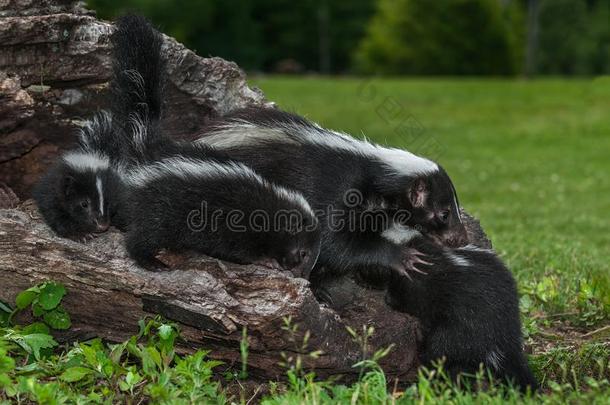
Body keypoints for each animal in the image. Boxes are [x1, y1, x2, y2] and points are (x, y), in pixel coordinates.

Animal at [382, 226, 536, 390]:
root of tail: (504, 340)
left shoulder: (419, 283)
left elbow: (410, 299)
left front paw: (392, 300)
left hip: (462, 327)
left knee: (441, 349)